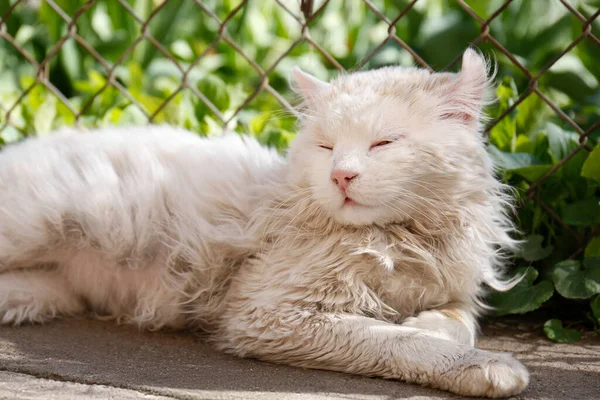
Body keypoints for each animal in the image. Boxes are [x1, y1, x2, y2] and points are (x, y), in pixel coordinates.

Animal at [0, 49, 528, 396]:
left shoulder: (455, 288)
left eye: (384, 143)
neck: (401, 239)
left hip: (46, 291)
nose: (341, 175)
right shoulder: (268, 312)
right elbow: (394, 341)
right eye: (326, 146)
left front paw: (429, 324)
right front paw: (487, 368)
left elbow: (459, 320)